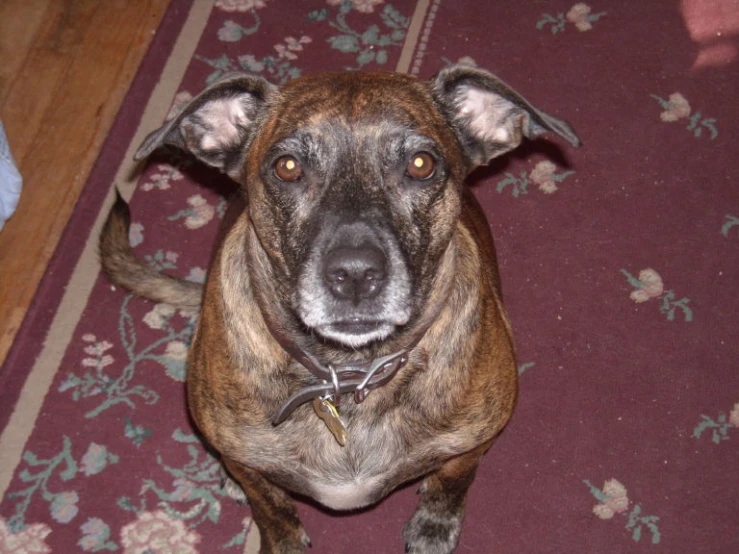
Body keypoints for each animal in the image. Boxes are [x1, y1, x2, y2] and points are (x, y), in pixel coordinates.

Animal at [98, 62, 580, 548]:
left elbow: (453, 480)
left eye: (421, 164)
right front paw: (283, 541)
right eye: (288, 167)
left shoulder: (475, 441)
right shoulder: (254, 472)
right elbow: (271, 507)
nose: (355, 275)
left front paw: (434, 525)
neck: (347, 375)